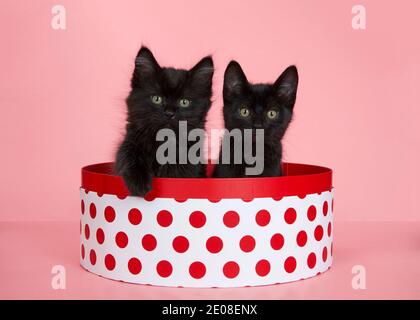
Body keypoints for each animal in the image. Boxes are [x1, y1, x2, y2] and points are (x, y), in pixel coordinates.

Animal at [115, 46, 213, 196]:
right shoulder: (129, 144)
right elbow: (128, 157)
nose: (169, 114)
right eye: (157, 98)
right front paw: (139, 184)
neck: (163, 144)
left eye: (184, 102)